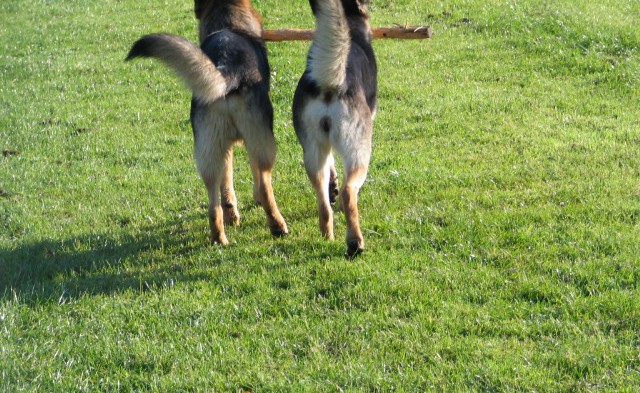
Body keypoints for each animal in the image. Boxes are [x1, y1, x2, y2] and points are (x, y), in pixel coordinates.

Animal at [125, 0, 288, 245]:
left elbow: (227, 188)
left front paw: (233, 217)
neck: (229, 23)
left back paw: (219, 238)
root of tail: (227, 71)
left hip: (209, 151)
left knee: (214, 204)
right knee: (266, 187)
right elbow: (256, 180)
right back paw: (278, 226)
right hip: (263, 145)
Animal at [292, 0, 378, 256]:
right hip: (359, 152)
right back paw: (355, 242)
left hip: (312, 153)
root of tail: (329, 84)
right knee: (350, 193)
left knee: (323, 203)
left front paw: (333, 188)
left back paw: (327, 237)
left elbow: (332, 168)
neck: (351, 24)